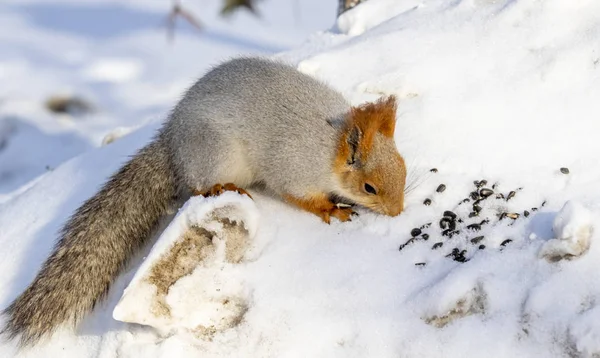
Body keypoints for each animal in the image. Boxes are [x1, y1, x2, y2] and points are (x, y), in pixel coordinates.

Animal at [1, 56, 408, 346]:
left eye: (404, 168)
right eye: (369, 188)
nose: (398, 211)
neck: (329, 148)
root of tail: (173, 146)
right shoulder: (292, 169)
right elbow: (301, 197)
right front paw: (332, 209)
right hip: (216, 155)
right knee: (197, 186)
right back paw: (221, 188)